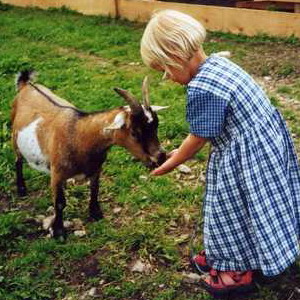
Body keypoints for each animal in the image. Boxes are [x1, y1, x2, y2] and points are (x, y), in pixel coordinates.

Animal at [11, 71, 166, 239]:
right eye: (134, 132)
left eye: (156, 125)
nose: (160, 157)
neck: (79, 135)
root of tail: (26, 84)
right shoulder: (57, 173)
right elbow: (60, 202)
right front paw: (58, 231)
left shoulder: (96, 169)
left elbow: (95, 189)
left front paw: (95, 213)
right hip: (14, 139)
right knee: (18, 161)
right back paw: (21, 189)